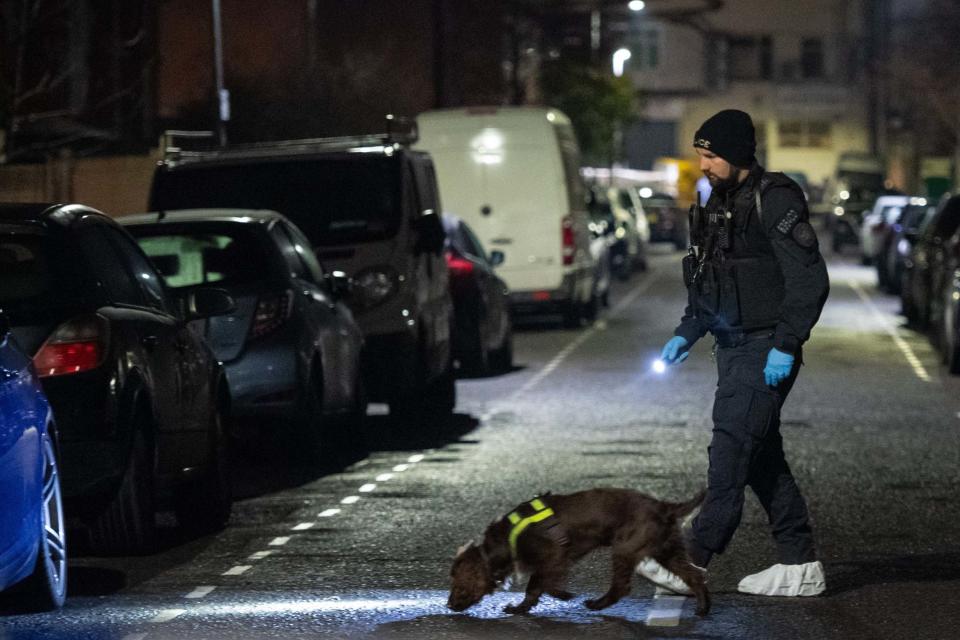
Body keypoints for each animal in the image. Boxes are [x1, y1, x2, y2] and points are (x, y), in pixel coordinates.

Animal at [446, 490, 708, 616]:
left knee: (621, 586)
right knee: (694, 575)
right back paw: (703, 609)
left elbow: (536, 585)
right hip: (666, 549)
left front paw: (528, 606)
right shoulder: (555, 560)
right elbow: (540, 584)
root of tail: (664, 506)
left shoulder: (553, 556)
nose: (448, 605)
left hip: (625, 548)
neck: (504, 542)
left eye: (458, 585)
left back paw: (597, 604)